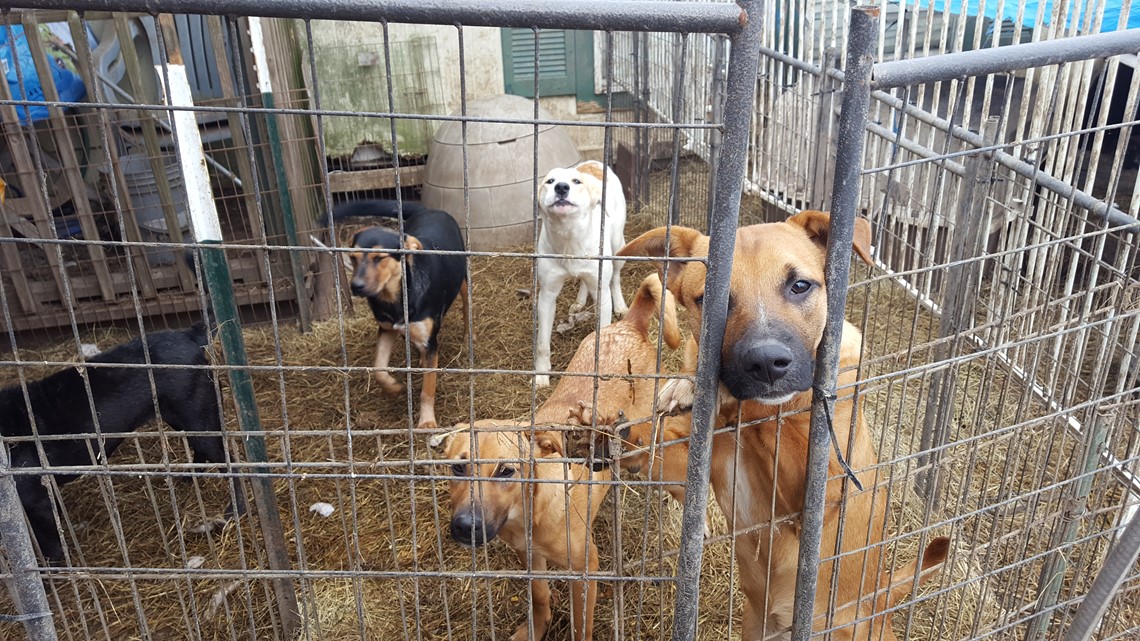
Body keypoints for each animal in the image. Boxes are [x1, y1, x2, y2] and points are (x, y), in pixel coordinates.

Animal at [0, 321, 240, 561]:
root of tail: (190, 335)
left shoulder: (37, 504)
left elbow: (50, 544)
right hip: (182, 419)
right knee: (202, 451)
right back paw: (189, 478)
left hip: (197, 416)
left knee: (228, 461)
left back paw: (234, 511)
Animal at [332, 198, 467, 428]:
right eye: (353, 258)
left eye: (379, 257)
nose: (356, 286)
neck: (395, 297)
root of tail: (429, 209)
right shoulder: (386, 329)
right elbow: (378, 368)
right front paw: (393, 388)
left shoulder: (431, 343)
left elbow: (427, 390)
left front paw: (427, 421)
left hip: (464, 281)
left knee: (467, 308)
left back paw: (468, 338)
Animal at [435, 270, 674, 638]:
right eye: (457, 469)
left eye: (506, 471)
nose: (464, 527)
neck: (529, 513)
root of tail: (629, 325)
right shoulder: (529, 557)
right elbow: (540, 596)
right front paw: (536, 628)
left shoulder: (585, 569)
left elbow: (581, 625)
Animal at [531, 158, 624, 383]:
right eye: (549, 181)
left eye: (576, 182)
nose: (561, 187)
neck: (569, 238)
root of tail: (595, 162)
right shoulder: (547, 296)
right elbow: (542, 345)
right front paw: (541, 377)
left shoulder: (602, 294)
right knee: (583, 281)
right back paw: (579, 302)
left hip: (618, 245)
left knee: (616, 277)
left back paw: (621, 305)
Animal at [620, 212, 948, 638]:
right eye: (709, 300)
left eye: (800, 286)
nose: (765, 364)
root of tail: (881, 600)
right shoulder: (692, 460)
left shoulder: (821, 488)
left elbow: (766, 419)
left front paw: (707, 389)